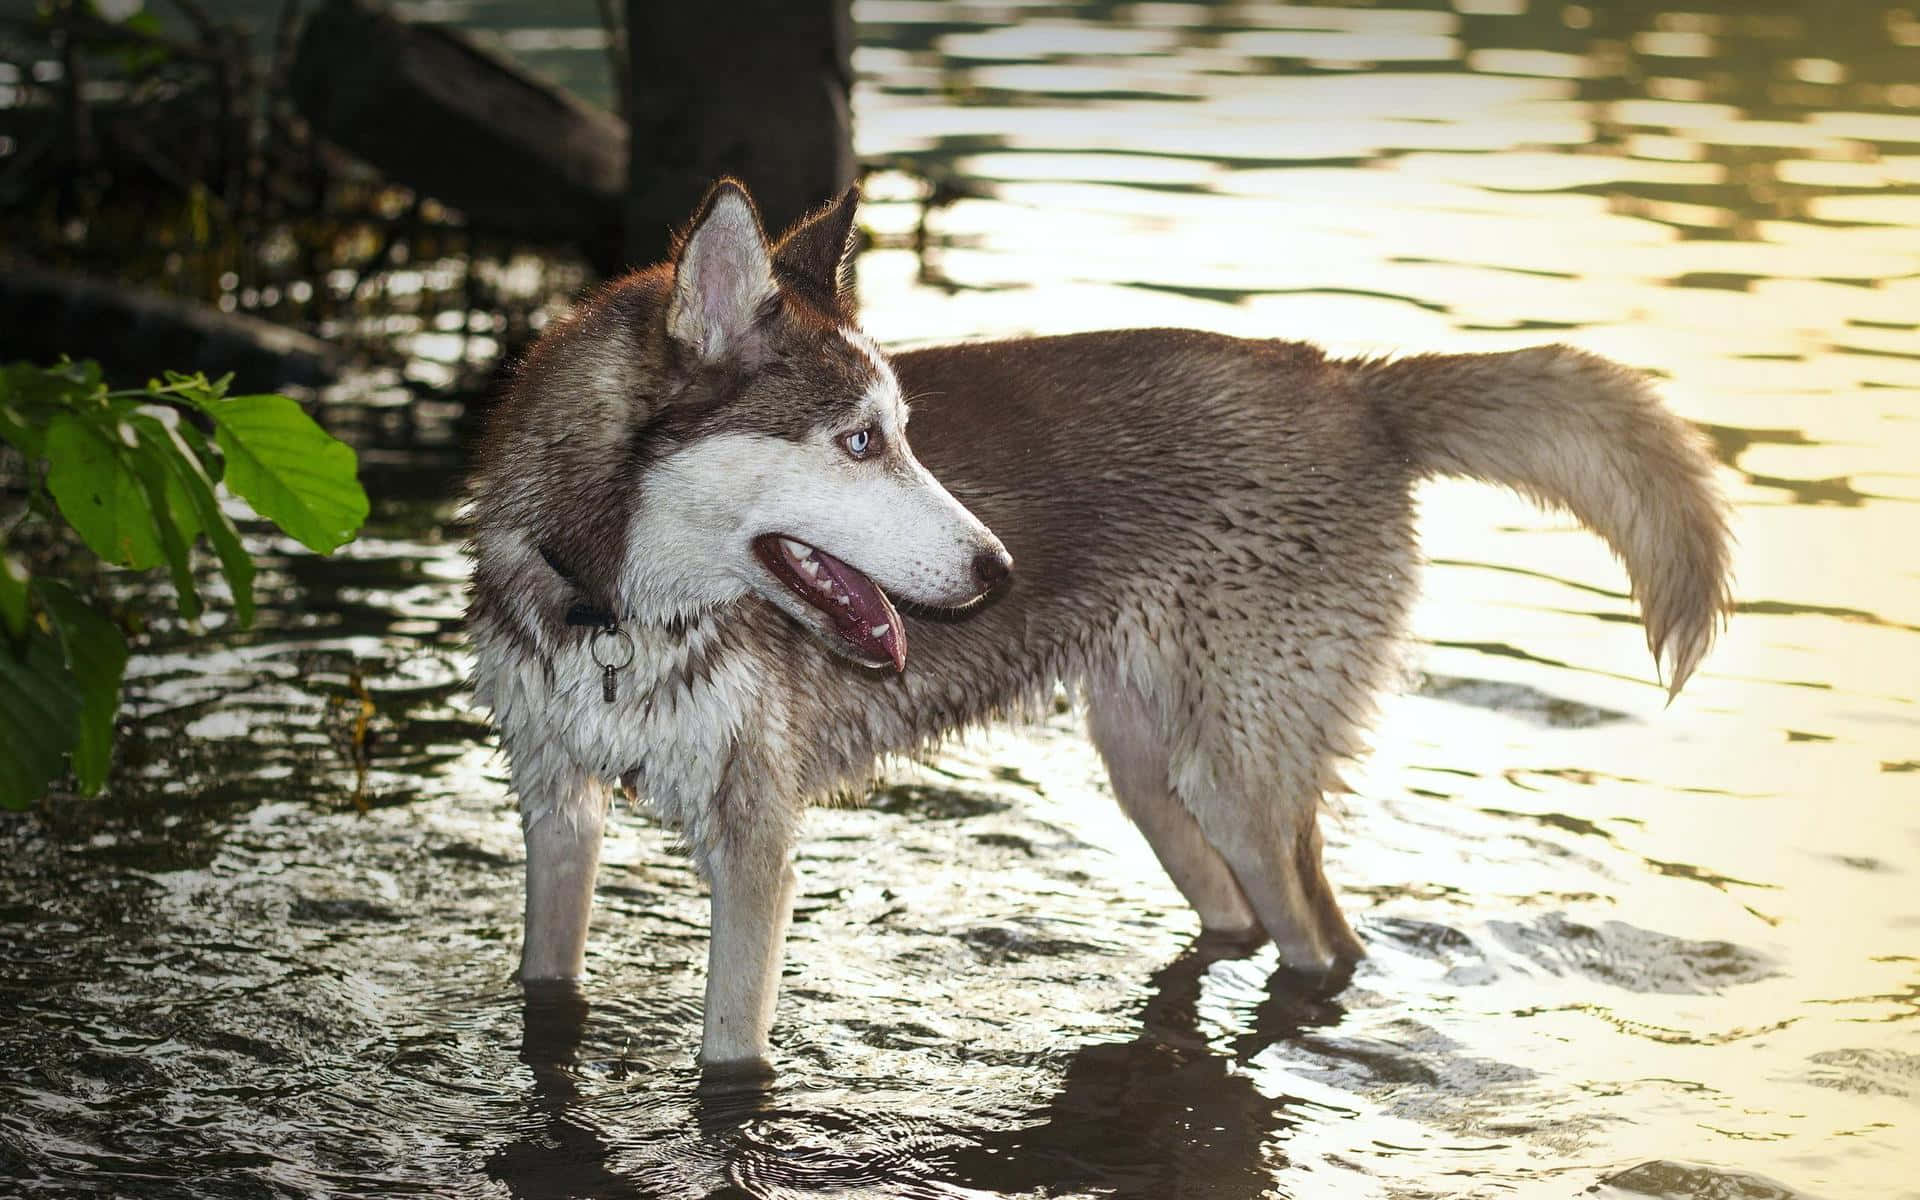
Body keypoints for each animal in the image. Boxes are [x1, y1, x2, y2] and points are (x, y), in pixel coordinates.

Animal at [460, 180, 1728, 1075]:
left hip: (1239, 776)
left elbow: (731, 1059)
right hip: (1147, 767)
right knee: (1234, 917)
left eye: (904, 431)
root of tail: (1350, 381)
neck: (612, 614)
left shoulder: (755, 842)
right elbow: (546, 988)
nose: (998, 569)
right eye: (861, 441)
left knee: (1323, 939)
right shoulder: (558, 810)